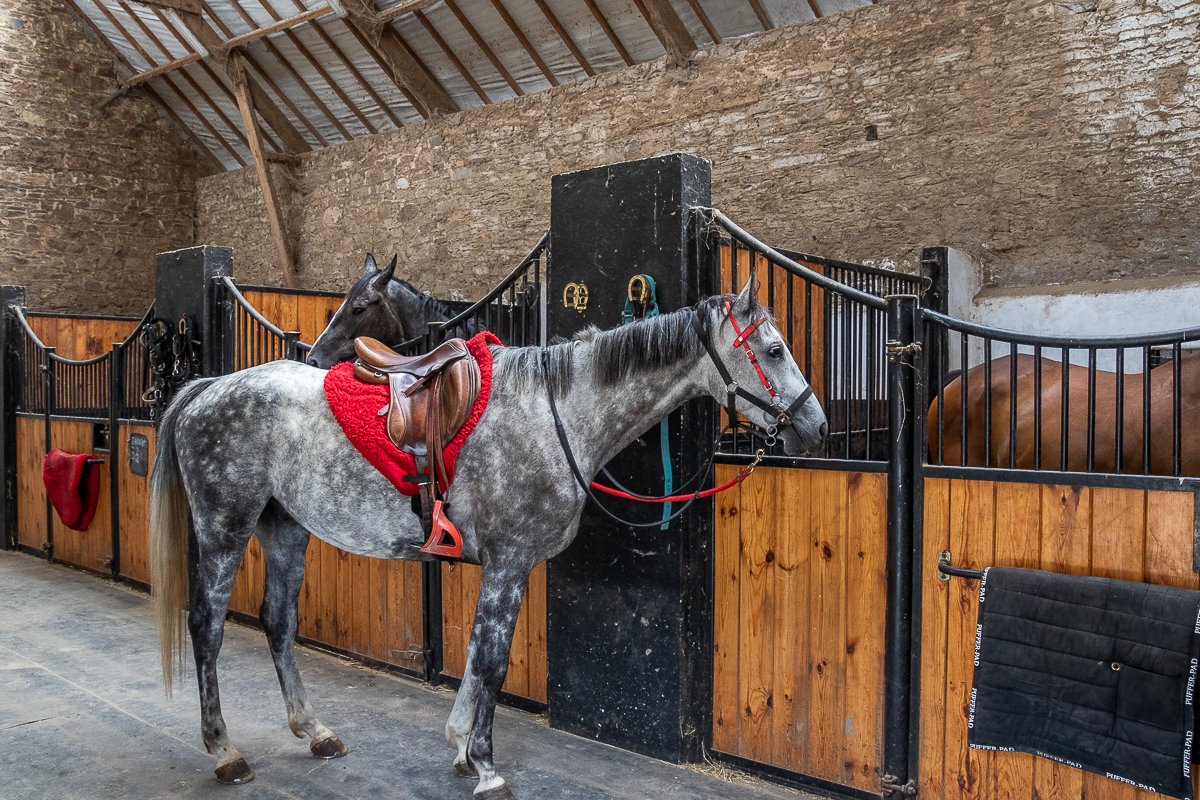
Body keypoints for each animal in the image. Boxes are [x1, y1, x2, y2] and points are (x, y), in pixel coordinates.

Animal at [149, 277, 828, 798]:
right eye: (773, 349)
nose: (817, 427)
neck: (555, 413)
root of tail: (207, 388)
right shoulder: (510, 562)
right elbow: (494, 662)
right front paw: (486, 765)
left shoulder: (505, 565)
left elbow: (476, 655)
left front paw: (459, 746)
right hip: (224, 528)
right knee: (206, 626)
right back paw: (225, 751)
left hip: (284, 528)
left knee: (278, 622)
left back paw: (314, 731)